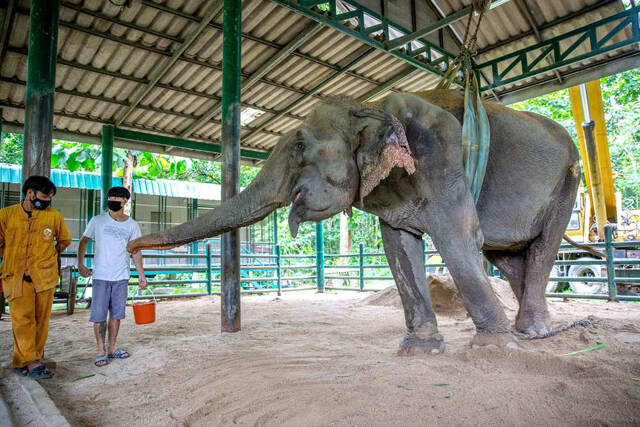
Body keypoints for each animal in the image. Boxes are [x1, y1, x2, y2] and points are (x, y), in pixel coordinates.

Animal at [126, 88, 580, 356]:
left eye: (299, 147)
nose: (132, 253)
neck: (369, 104)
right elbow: (399, 247)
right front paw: (418, 351)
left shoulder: (441, 154)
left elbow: (457, 236)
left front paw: (494, 349)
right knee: (509, 256)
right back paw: (539, 330)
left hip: (568, 181)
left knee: (541, 247)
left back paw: (531, 334)